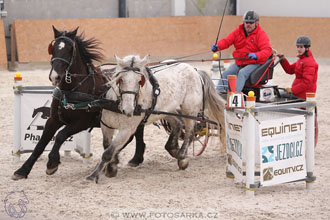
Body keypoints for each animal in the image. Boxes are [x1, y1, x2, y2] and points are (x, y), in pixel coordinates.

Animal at [12, 26, 146, 180]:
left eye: (70, 49)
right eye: (53, 48)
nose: (55, 76)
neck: (71, 90)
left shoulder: (82, 123)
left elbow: (60, 136)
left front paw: (52, 163)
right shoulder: (53, 119)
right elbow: (40, 144)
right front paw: (22, 170)